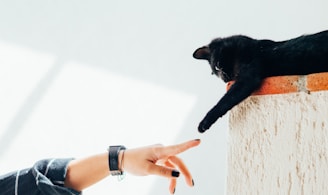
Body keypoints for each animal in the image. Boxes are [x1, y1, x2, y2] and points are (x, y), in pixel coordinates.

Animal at [192, 30, 328, 133]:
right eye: (215, 73)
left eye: (217, 67)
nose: (225, 79)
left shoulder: (248, 77)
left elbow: (225, 101)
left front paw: (204, 122)